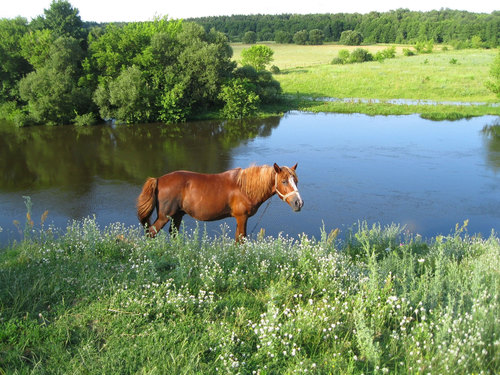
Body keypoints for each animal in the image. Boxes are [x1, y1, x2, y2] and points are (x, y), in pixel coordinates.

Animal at [135, 162, 302, 241]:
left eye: (296, 181)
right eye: (284, 181)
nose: (298, 203)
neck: (244, 188)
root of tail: (158, 179)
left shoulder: (240, 218)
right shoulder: (242, 217)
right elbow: (241, 240)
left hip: (177, 215)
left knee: (173, 234)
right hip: (164, 217)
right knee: (151, 233)